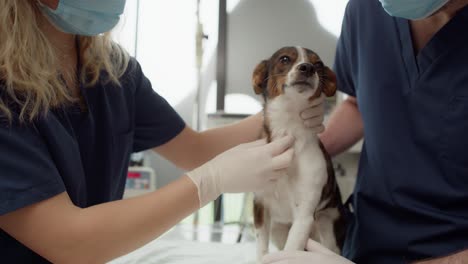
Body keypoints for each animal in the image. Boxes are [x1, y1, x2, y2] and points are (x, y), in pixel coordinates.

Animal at [252, 46, 348, 260]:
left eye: (318, 64)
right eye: (284, 59)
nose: (307, 67)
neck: (289, 131)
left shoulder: (304, 216)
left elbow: (291, 251)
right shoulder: (260, 206)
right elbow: (261, 250)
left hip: (325, 226)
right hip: (278, 230)